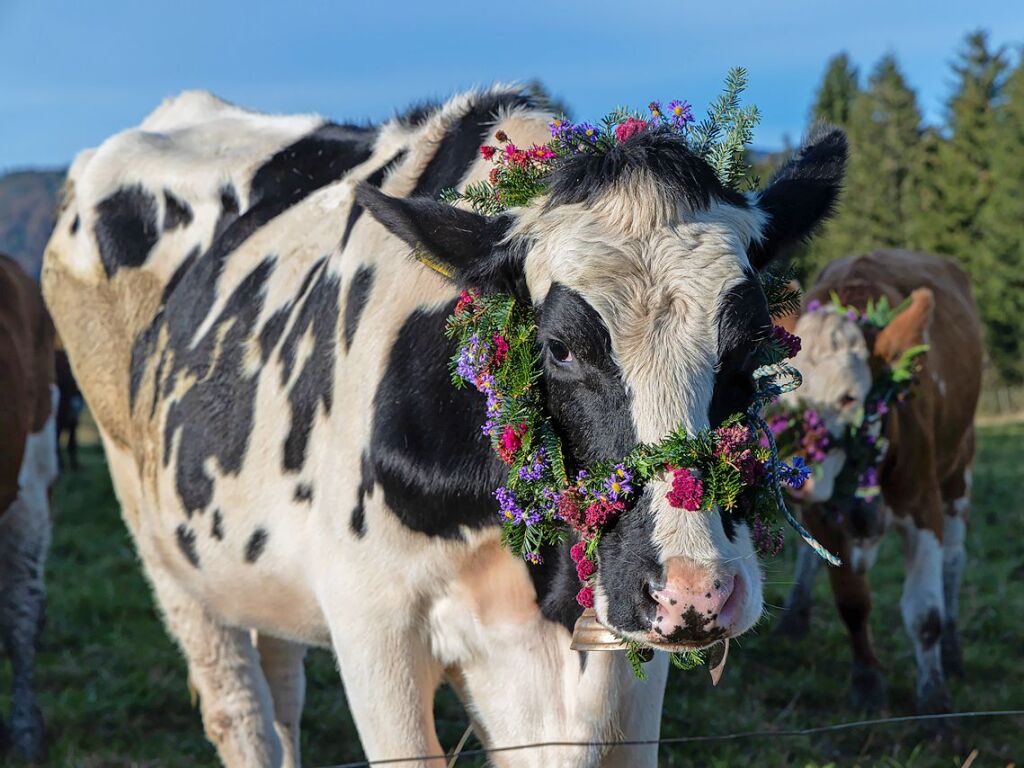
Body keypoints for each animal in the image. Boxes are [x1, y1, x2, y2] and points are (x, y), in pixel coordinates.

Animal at [41, 87, 847, 765]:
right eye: (559, 347)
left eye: (757, 340)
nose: (693, 591)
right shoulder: (373, 628)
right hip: (165, 551)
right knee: (239, 714)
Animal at [774, 250, 983, 716]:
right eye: (783, 397)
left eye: (849, 397)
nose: (793, 476)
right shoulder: (825, 512)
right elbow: (852, 601)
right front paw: (867, 683)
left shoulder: (922, 503)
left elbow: (925, 614)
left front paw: (935, 700)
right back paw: (794, 617)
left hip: (958, 469)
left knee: (955, 563)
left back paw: (955, 650)